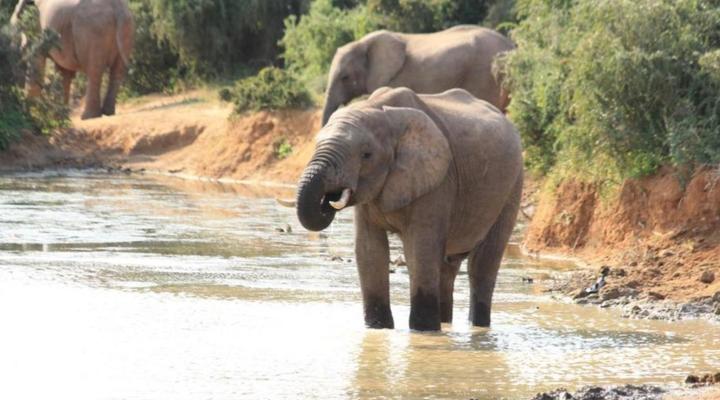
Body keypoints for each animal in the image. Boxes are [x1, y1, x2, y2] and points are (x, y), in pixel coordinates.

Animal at [294, 86, 523, 331]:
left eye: (367, 155)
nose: (329, 199)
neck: (379, 110)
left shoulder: (438, 181)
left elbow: (420, 250)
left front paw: (423, 331)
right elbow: (369, 250)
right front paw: (378, 328)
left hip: (513, 185)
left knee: (482, 264)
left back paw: (477, 326)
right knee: (447, 267)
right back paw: (446, 323)